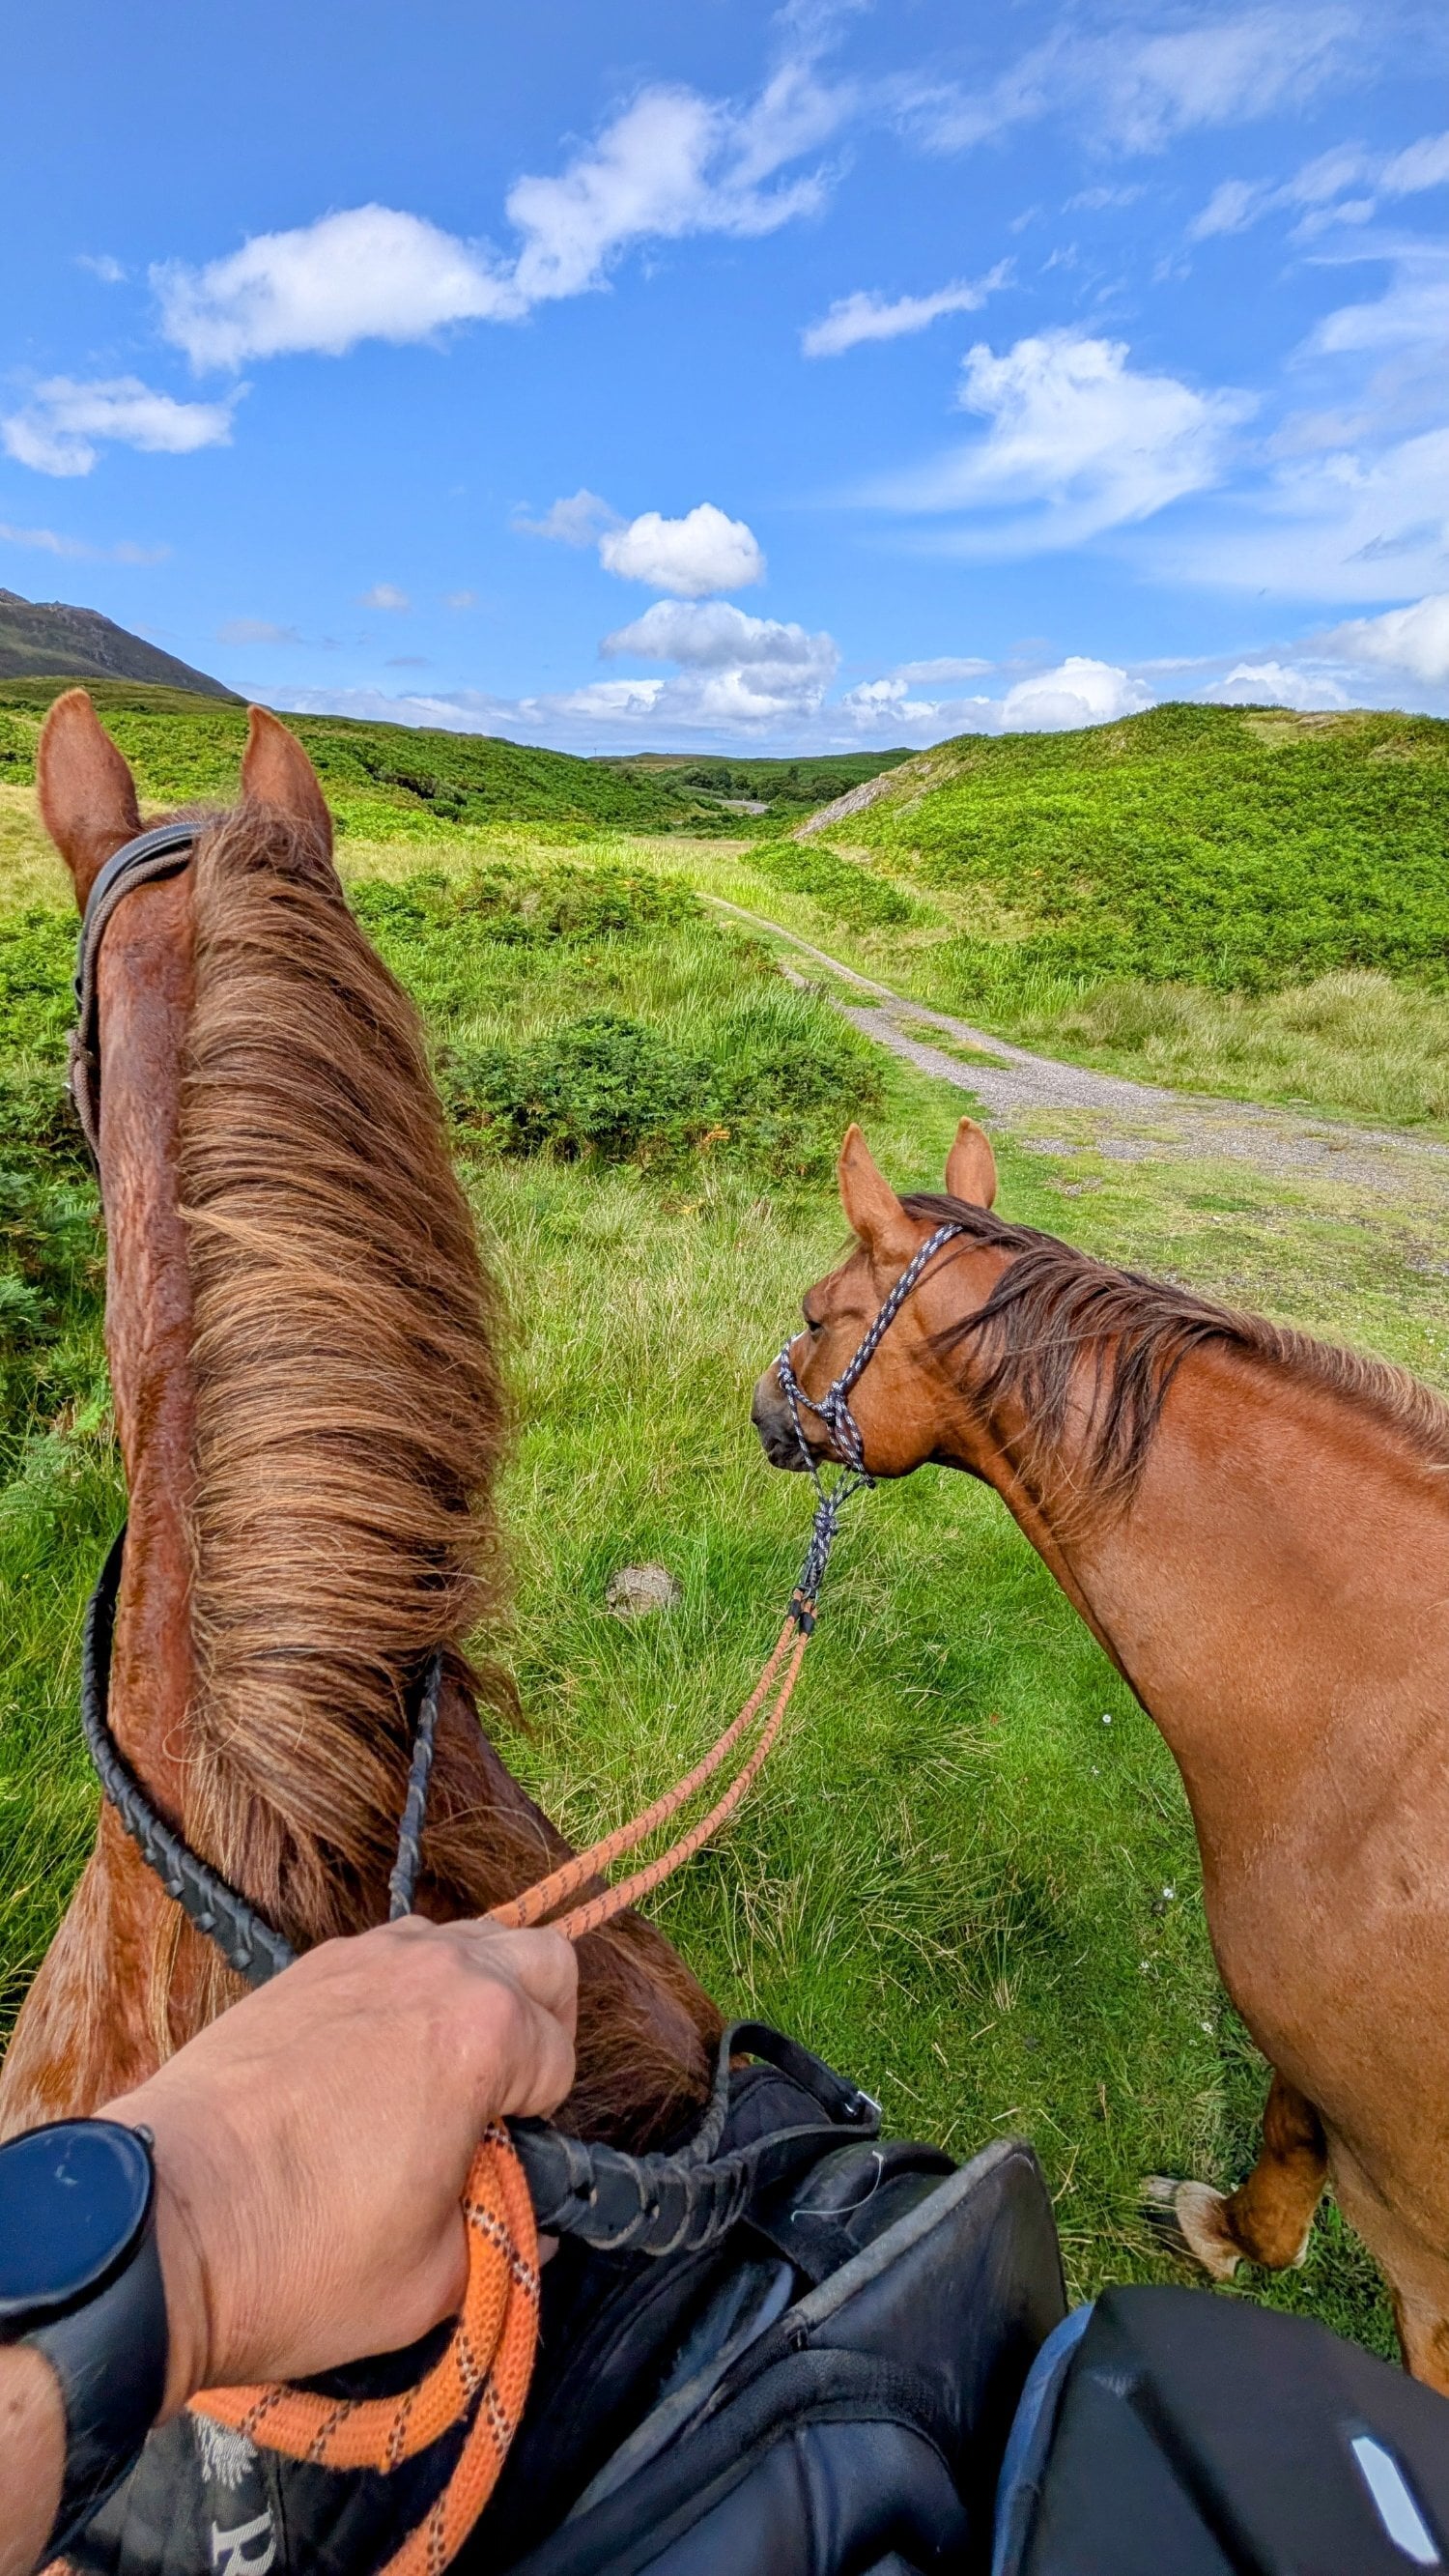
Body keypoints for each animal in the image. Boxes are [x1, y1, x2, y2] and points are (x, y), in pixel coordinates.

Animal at [752, 1114, 1449, 2393]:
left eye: (820, 1310)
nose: (763, 1408)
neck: (1370, 1711)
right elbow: (1288, 2145)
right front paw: (1233, 2231)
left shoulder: (1423, 2257)